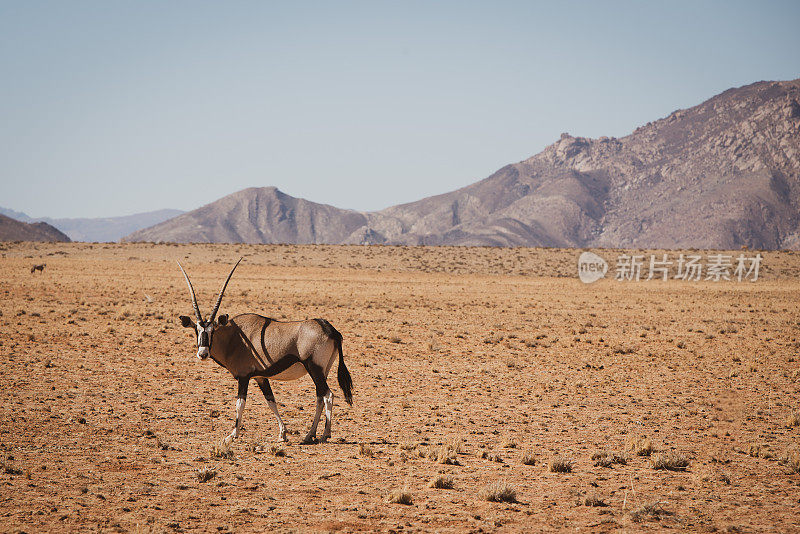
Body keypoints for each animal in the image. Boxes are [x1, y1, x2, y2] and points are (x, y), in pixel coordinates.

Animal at [178, 258, 354, 446]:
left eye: (212, 330)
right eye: (197, 330)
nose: (202, 353)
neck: (235, 337)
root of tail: (330, 329)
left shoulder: (244, 377)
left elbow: (240, 403)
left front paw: (232, 435)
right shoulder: (260, 377)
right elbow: (271, 401)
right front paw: (282, 433)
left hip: (315, 369)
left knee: (328, 395)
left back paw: (324, 434)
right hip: (322, 371)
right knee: (320, 396)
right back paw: (309, 435)